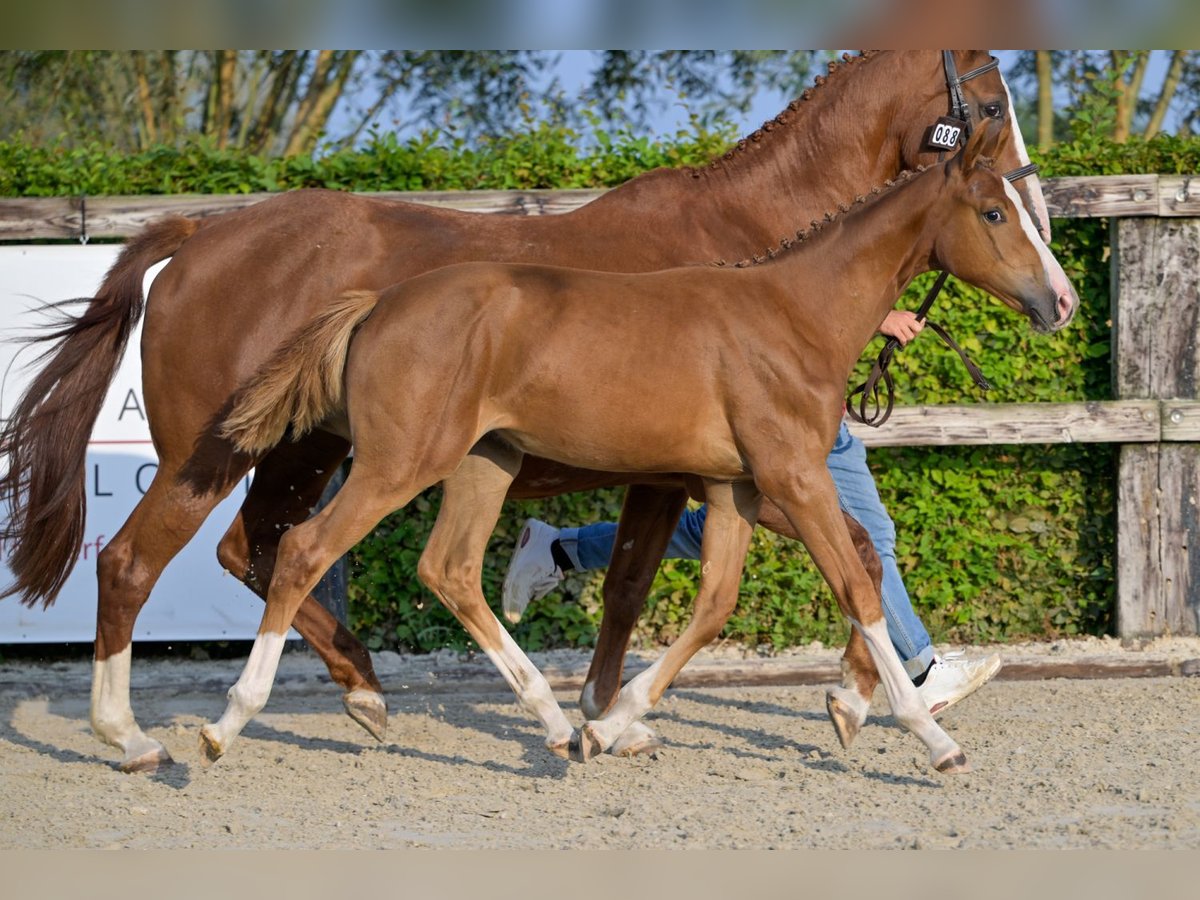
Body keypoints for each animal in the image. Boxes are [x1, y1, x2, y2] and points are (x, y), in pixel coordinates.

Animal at [213, 121, 1080, 777]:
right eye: (993, 213)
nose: (1061, 302)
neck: (793, 314)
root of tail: (373, 305)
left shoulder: (735, 489)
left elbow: (715, 605)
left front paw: (611, 724)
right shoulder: (794, 477)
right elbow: (855, 587)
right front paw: (931, 738)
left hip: (484, 463)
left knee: (448, 569)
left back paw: (557, 727)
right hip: (399, 463)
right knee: (301, 550)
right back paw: (231, 722)